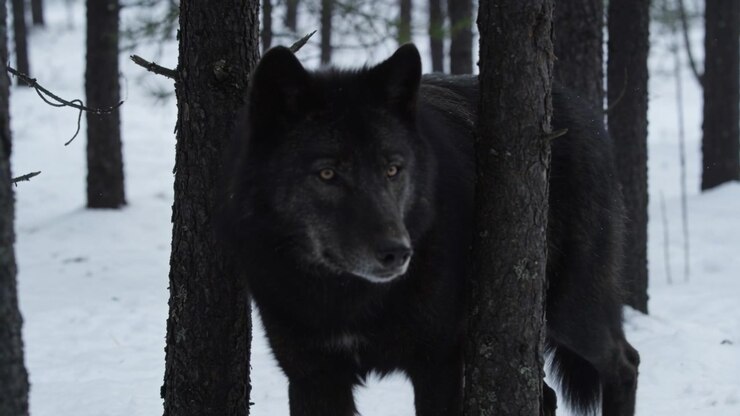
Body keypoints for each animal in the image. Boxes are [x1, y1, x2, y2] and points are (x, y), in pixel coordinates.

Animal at [223, 44, 639, 416]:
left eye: (393, 168)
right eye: (328, 173)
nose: (397, 253)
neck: (350, 298)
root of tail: (584, 111)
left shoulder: (439, 364)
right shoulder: (315, 377)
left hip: (570, 311)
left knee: (625, 362)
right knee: (550, 395)